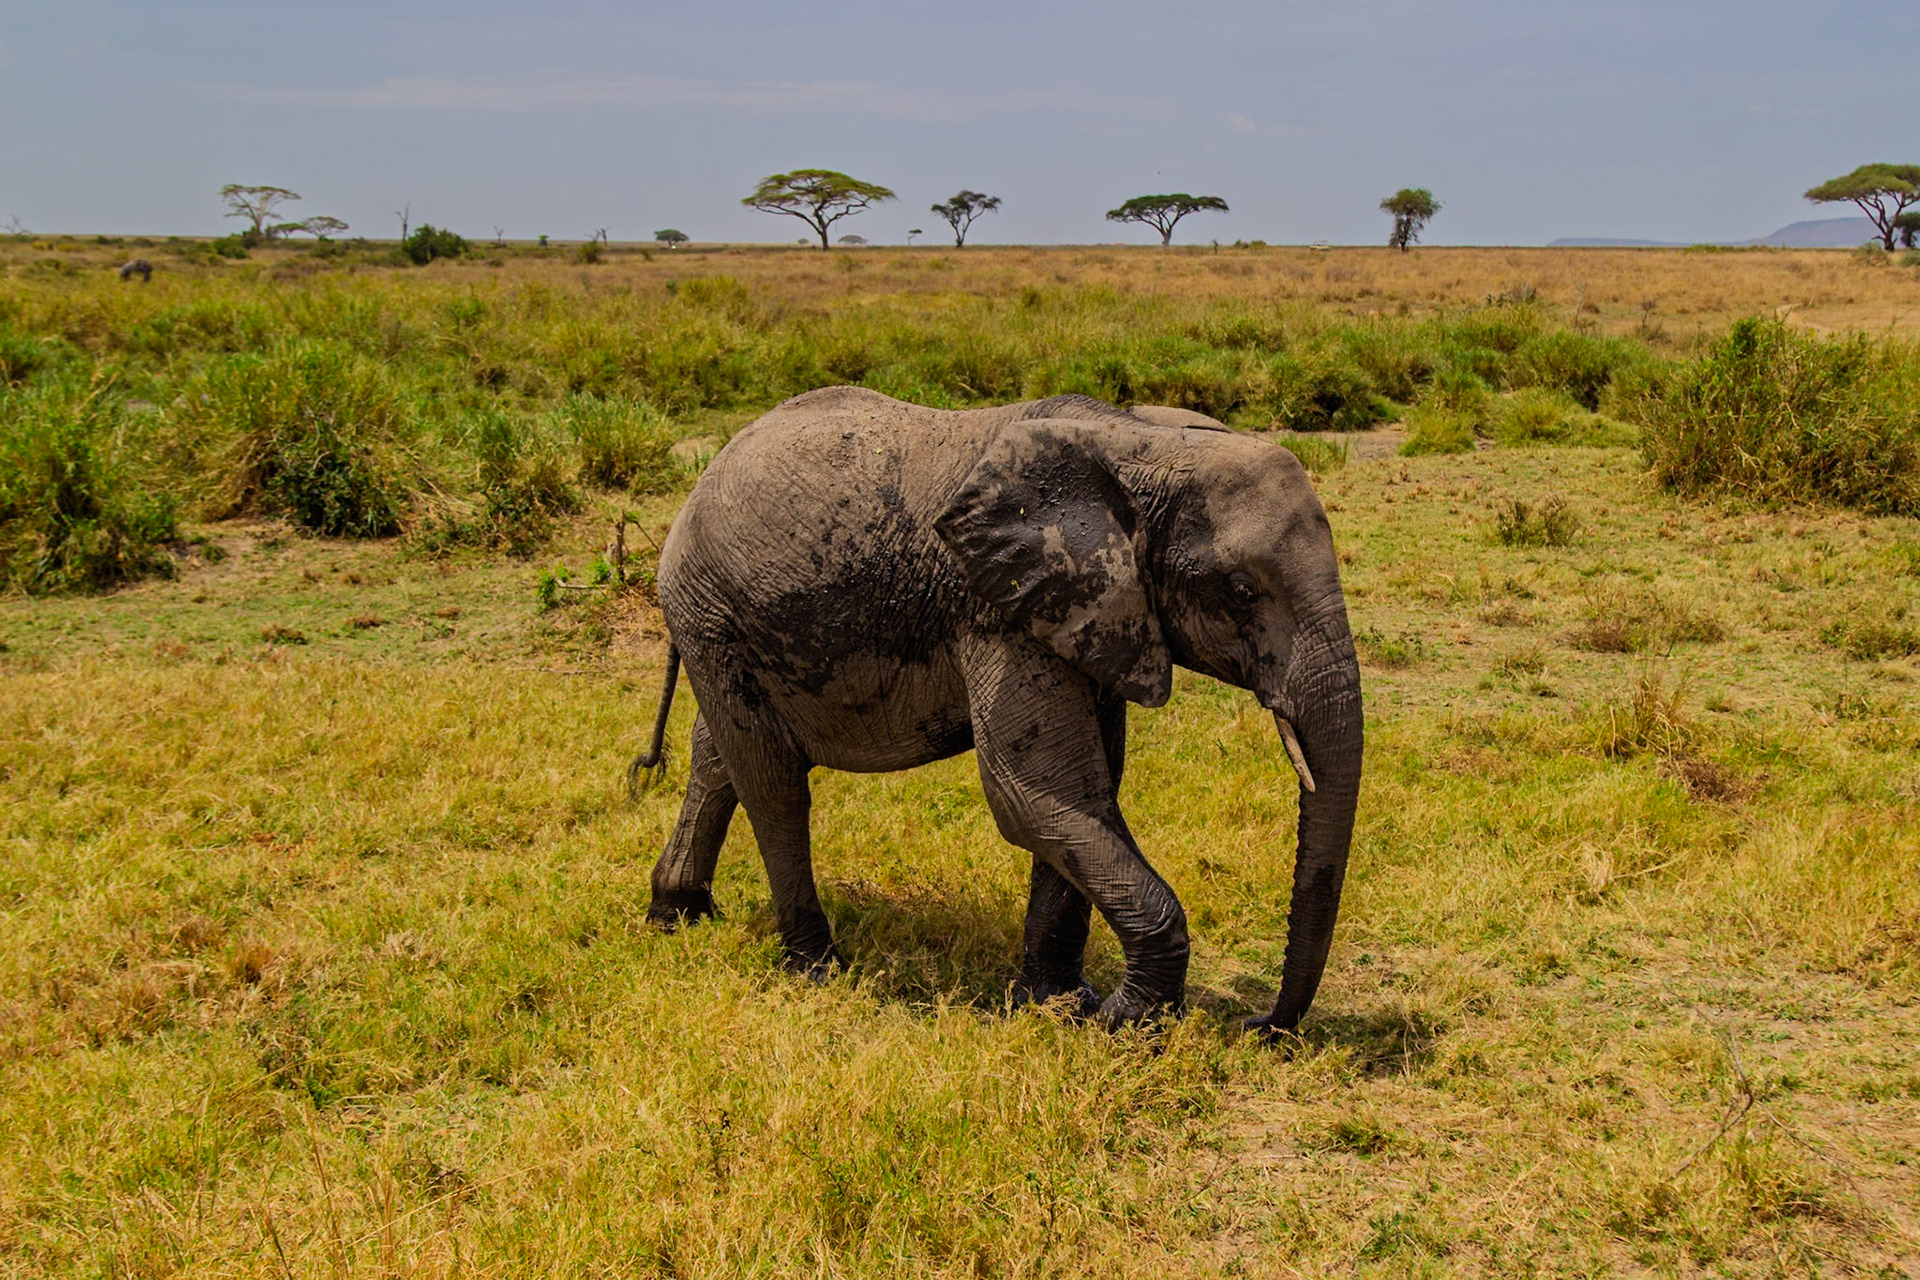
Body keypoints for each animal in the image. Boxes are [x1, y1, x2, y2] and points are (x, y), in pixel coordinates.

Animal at [632, 387, 1362, 1031]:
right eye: (1240, 589)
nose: (1255, 1022)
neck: (1137, 444)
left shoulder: (1086, 613)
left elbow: (1087, 796)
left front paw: (1060, 1007)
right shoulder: (997, 611)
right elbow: (1031, 798)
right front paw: (1125, 1021)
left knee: (719, 757)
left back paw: (677, 915)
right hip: (709, 610)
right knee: (773, 782)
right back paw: (816, 969)